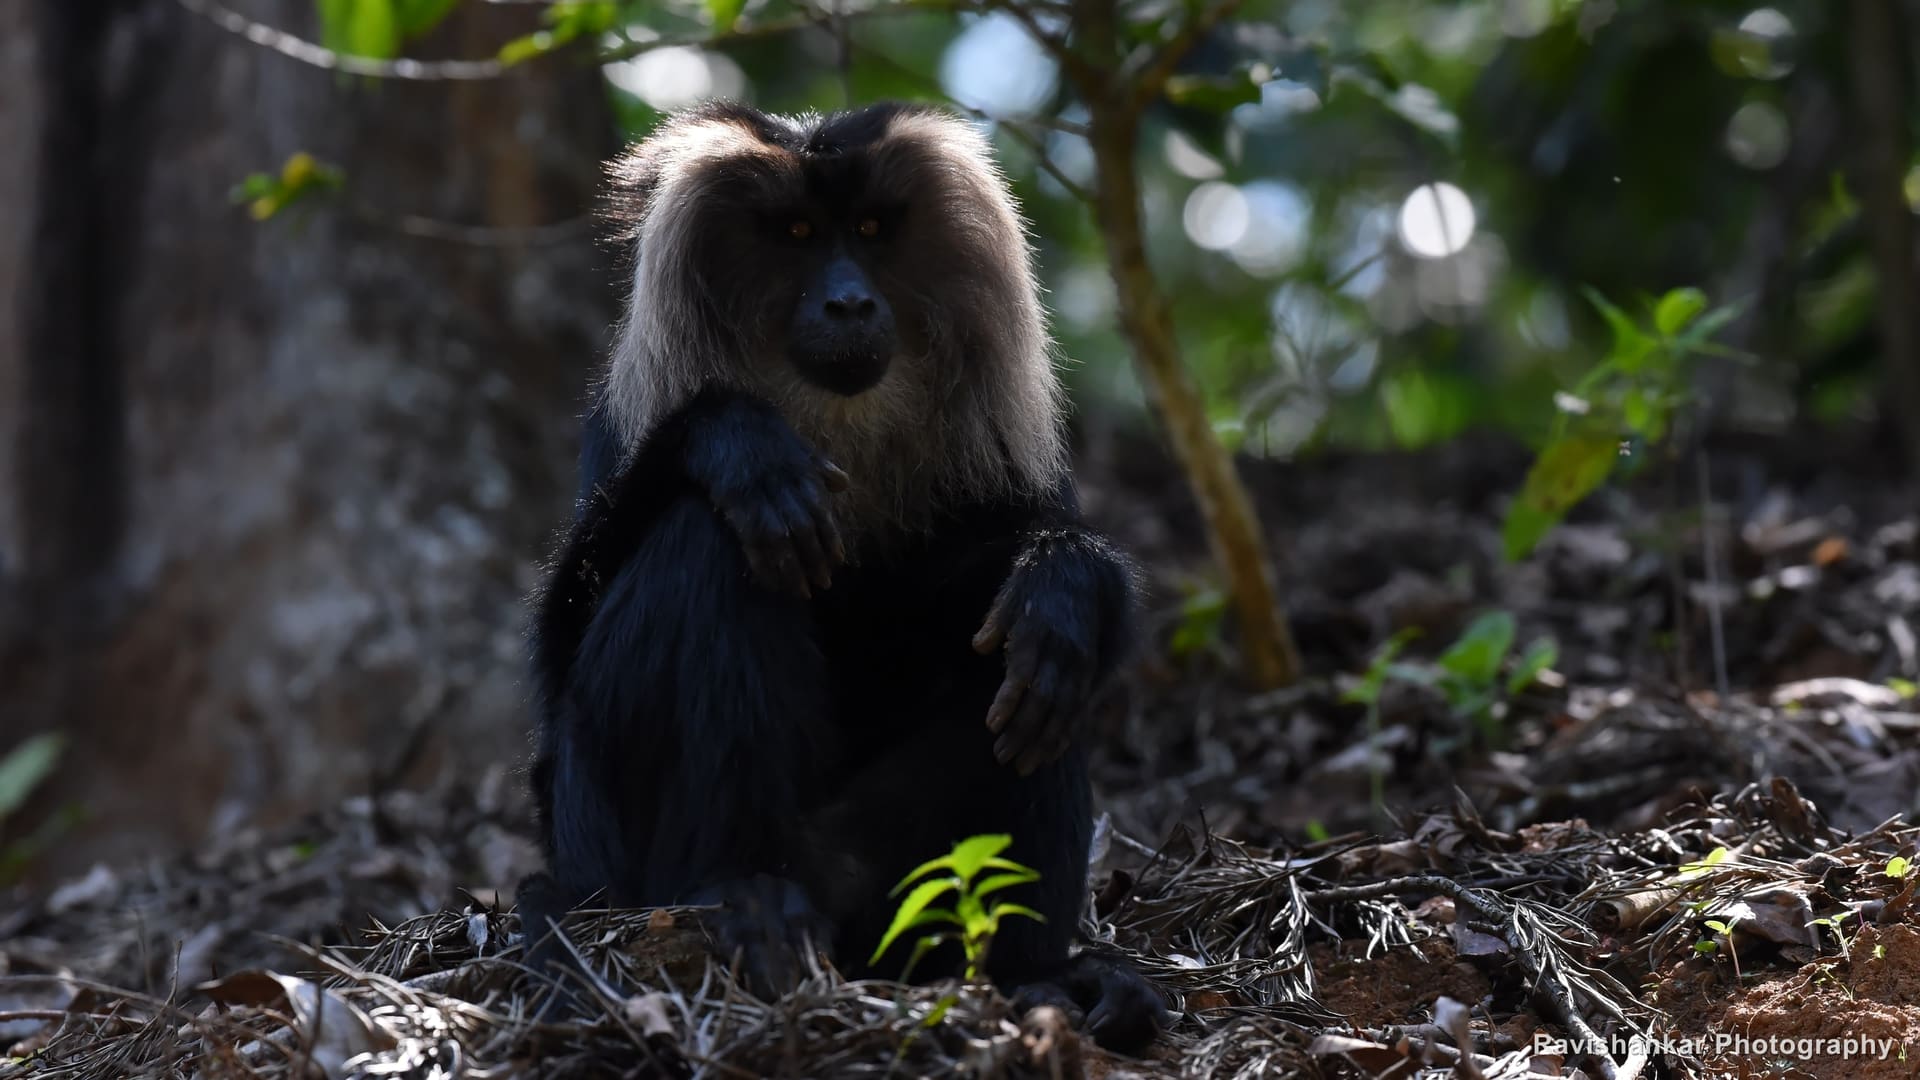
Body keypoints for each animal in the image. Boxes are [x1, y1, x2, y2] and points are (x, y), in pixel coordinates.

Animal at [516, 102, 1163, 1052]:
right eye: (796, 235)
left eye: (868, 231)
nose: (849, 300)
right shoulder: (620, 424)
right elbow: (558, 660)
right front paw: (741, 444)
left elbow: (1025, 581)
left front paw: (1067, 583)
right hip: (611, 856)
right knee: (707, 540)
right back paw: (743, 894)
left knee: (1030, 662)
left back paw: (1035, 978)